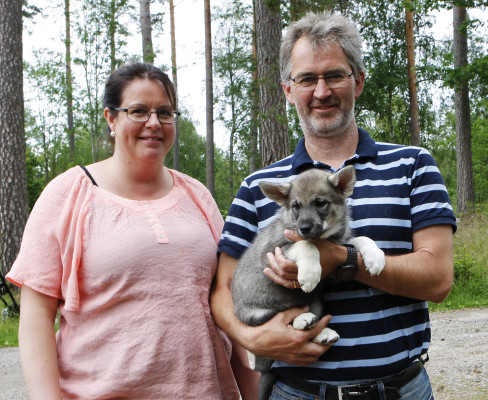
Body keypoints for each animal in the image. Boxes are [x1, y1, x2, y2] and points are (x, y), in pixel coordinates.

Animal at [232, 165, 386, 396]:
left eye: (320, 203)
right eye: (296, 206)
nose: (304, 228)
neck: (326, 238)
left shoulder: (337, 261)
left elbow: (360, 239)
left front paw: (375, 256)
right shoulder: (272, 253)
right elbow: (306, 245)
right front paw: (310, 273)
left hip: (316, 303)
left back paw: (322, 332)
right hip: (257, 315)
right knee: (284, 318)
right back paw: (303, 319)